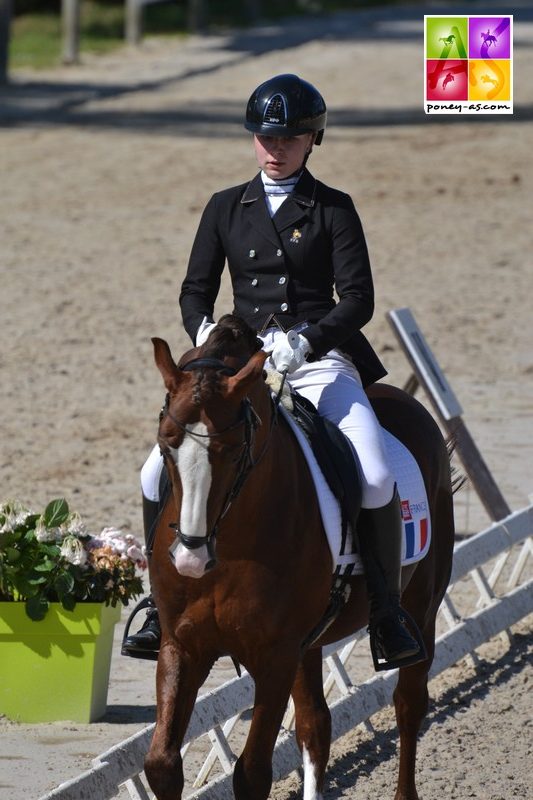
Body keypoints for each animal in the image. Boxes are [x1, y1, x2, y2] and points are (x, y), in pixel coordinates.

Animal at [144, 316, 454, 796]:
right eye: (166, 445)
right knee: (315, 725)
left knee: (409, 704)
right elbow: (161, 763)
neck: (230, 544)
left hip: (422, 606)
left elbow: (252, 773)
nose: (191, 561)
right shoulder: (182, 645)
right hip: (308, 644)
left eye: (233, 451)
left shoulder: (275, 657)